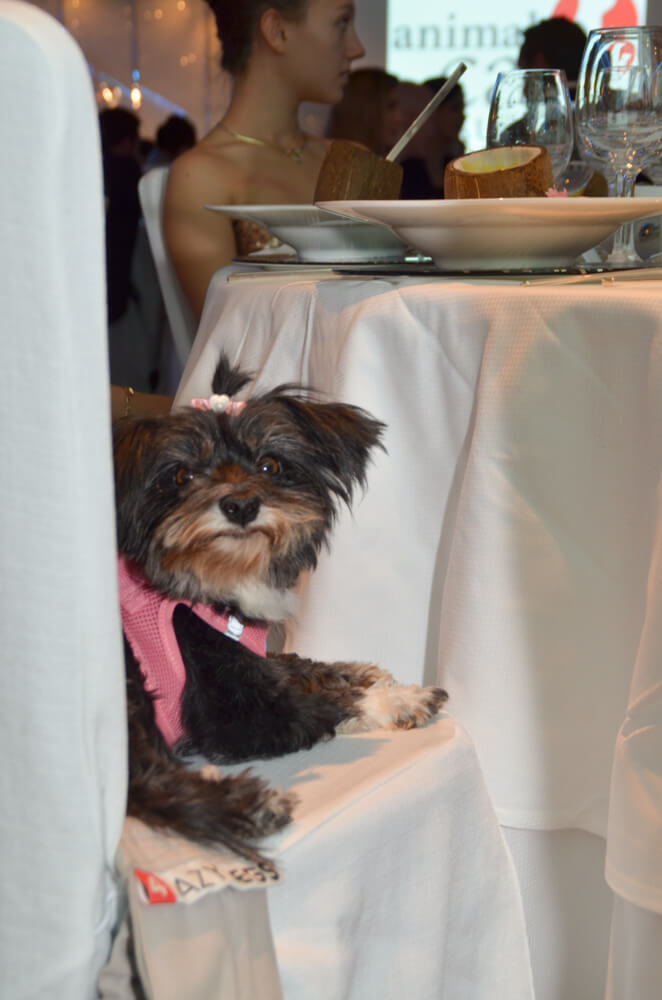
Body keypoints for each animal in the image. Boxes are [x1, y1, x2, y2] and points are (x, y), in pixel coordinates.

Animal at [114, 355, 447, 863]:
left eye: (270, 464)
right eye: (182, 476)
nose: (240, 504)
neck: (215, 585)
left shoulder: (253, 659)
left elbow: (296, 663)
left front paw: (359, 672)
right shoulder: (233, 708)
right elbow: (322, 704)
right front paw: (399, 699)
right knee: (149, 786)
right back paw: (249, 806)